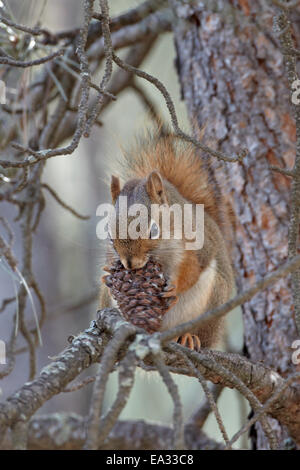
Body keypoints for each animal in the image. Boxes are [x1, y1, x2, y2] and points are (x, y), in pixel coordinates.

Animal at [99, 129, 236, 348]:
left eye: (153, 231)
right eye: (110, 237)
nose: (130, 264)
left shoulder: (198, 245)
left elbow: (193, 269)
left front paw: (175, 288)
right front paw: (107, 274)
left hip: (213, 303)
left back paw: (188, 337)